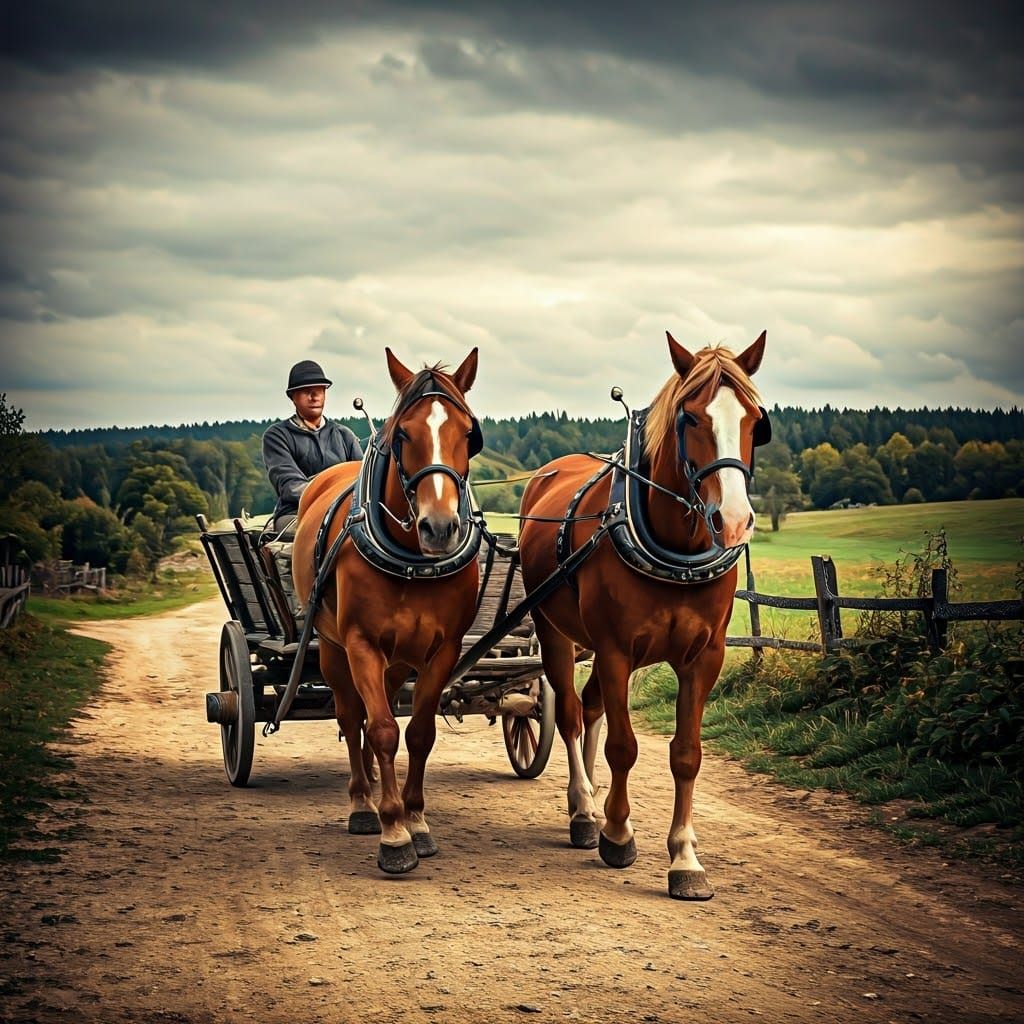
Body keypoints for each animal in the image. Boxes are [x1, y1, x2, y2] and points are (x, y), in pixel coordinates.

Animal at [293, 347, 482, 874]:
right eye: (402, 434)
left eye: (469, 434)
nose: (439, 527)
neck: (414, 559)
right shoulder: (361, 645)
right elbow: (380, 730)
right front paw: (393, 832)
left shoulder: (443, 649)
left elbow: (418, 732)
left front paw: (416, 820)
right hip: (333, 649)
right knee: (348, 715)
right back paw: (363, 802)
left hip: (398, 659)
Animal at [518, 331, 768, 900]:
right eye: (689, 418)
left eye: (754, 420)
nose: (733, 519)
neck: (678, 549)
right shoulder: (615, 651)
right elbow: (624, 747)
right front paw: (617, 833)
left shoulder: (705, 657)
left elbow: (686, 754)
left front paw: (685, 860)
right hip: (554, 631)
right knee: (571, 713)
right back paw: (585, 810)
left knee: (589, 708)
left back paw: (587, 802)